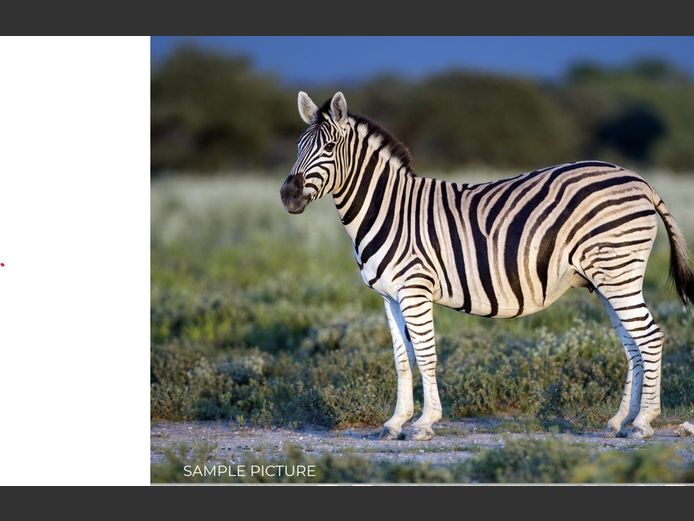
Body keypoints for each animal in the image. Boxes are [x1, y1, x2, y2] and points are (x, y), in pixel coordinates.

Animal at [280, 91, 694, 441]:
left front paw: (424, 424)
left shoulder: (415, 289)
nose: (288, 195)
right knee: (632, 344)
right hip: (607, 279)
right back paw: (619, 421)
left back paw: (642, 423)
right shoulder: (390, 296)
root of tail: (639, 180)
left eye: (329, 147)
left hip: (618, 272)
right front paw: (396, 422)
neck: (388, 209)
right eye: (297, 147)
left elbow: (426, 354)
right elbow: (401, 359)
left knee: (650, 337)